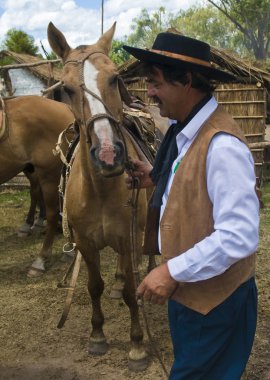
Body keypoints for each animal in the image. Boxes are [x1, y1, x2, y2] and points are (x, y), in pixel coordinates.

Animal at [47, 22, 156, 370]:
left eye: (113, 78)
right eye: (66, 89)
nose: (108, 155)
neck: (101, 189)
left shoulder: (127, 237)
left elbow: (133, 292)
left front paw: (137, 346)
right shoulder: (85, 242)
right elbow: (94, 286)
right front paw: (97, 336)